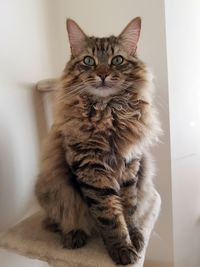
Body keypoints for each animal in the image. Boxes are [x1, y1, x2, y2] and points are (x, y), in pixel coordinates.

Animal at [35, 17, 161, 266]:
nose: (102, 74)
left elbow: (129, 209)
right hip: (53, 188)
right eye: (88, 61)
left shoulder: (130, 167)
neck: (108, 114)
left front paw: (135, 237)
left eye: (117, 60)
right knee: (61, 217)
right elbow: (110, 217)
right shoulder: (92, 170)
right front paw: (122, 249)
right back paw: (72, 235)